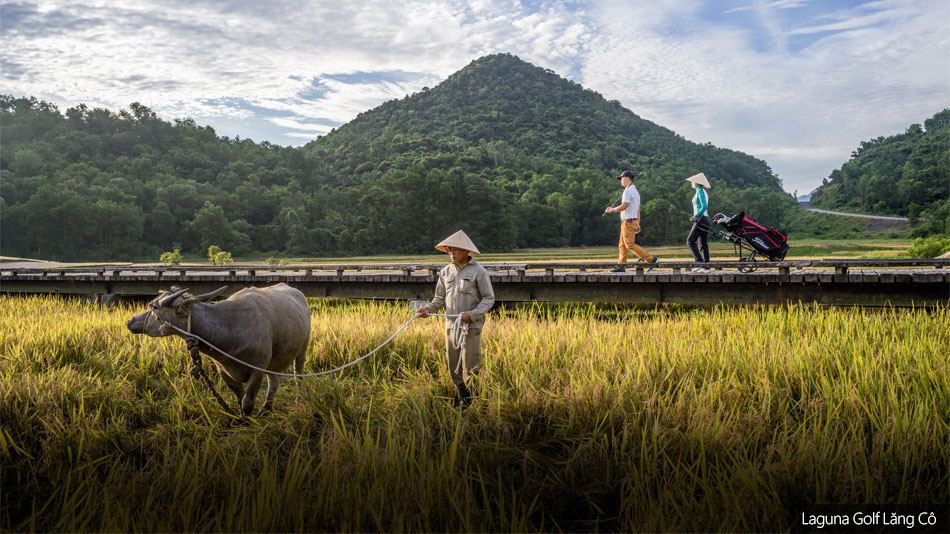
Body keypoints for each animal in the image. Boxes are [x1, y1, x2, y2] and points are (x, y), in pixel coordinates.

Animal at [126, 282, 310, 416]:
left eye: (154, 307)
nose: (130, 321)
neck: (230, 326)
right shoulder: (223, 370)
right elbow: (240, 398)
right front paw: (243, 420)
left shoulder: (257, 370)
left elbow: (247, 402)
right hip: (274, 361)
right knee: (274, 380)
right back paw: (266, 409)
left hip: (302, 350)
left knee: (298, 376)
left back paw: (298, 398)